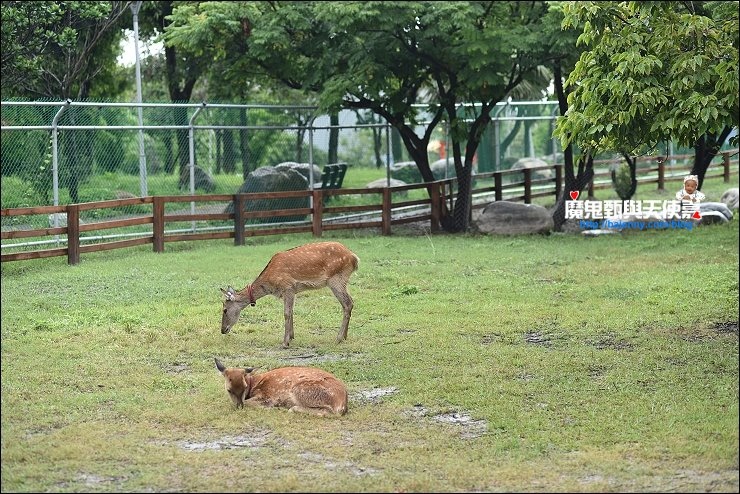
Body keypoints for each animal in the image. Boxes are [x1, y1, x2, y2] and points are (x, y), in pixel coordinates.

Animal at [212, 356, 348, 414]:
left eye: (245, 387)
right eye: (229, 390)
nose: (239, 406)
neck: (253, 383)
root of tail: (342, 403)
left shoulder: (269, 396)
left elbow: (249, 402)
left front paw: (271, 407)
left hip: (301, 390)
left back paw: (290, 408)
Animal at [220, 240, 358, 348]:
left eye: (225, 310)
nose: (222, 330)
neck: (270, 283)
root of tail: (354, 257)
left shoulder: (288, 287)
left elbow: (286, 313)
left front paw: (285, 342)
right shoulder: (292, 291)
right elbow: (291, 311)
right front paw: (291, 336)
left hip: (336, 279)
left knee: (347, 303)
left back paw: (338, 338)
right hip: (343, 280)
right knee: (350, 302)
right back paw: (345, 336)